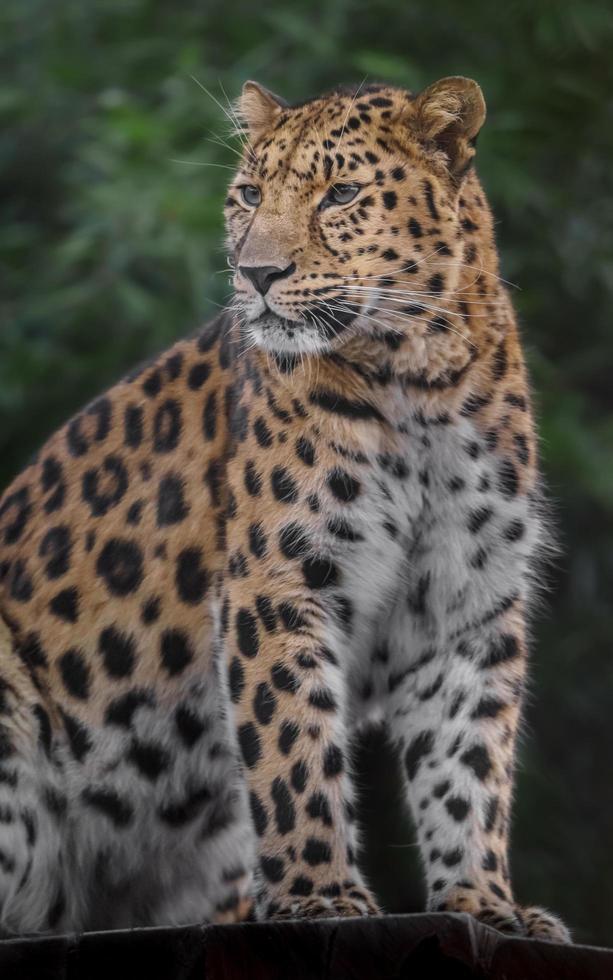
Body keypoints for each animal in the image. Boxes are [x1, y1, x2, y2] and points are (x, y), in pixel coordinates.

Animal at [0, 76, 568, 940]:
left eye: (340, 195)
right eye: (247, 195)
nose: (257, 273)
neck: (419, 381)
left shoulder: (469, 604)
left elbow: (469, 765)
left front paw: (484, 904)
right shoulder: (278, 580)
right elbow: (292, 742)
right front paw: (319, 895)